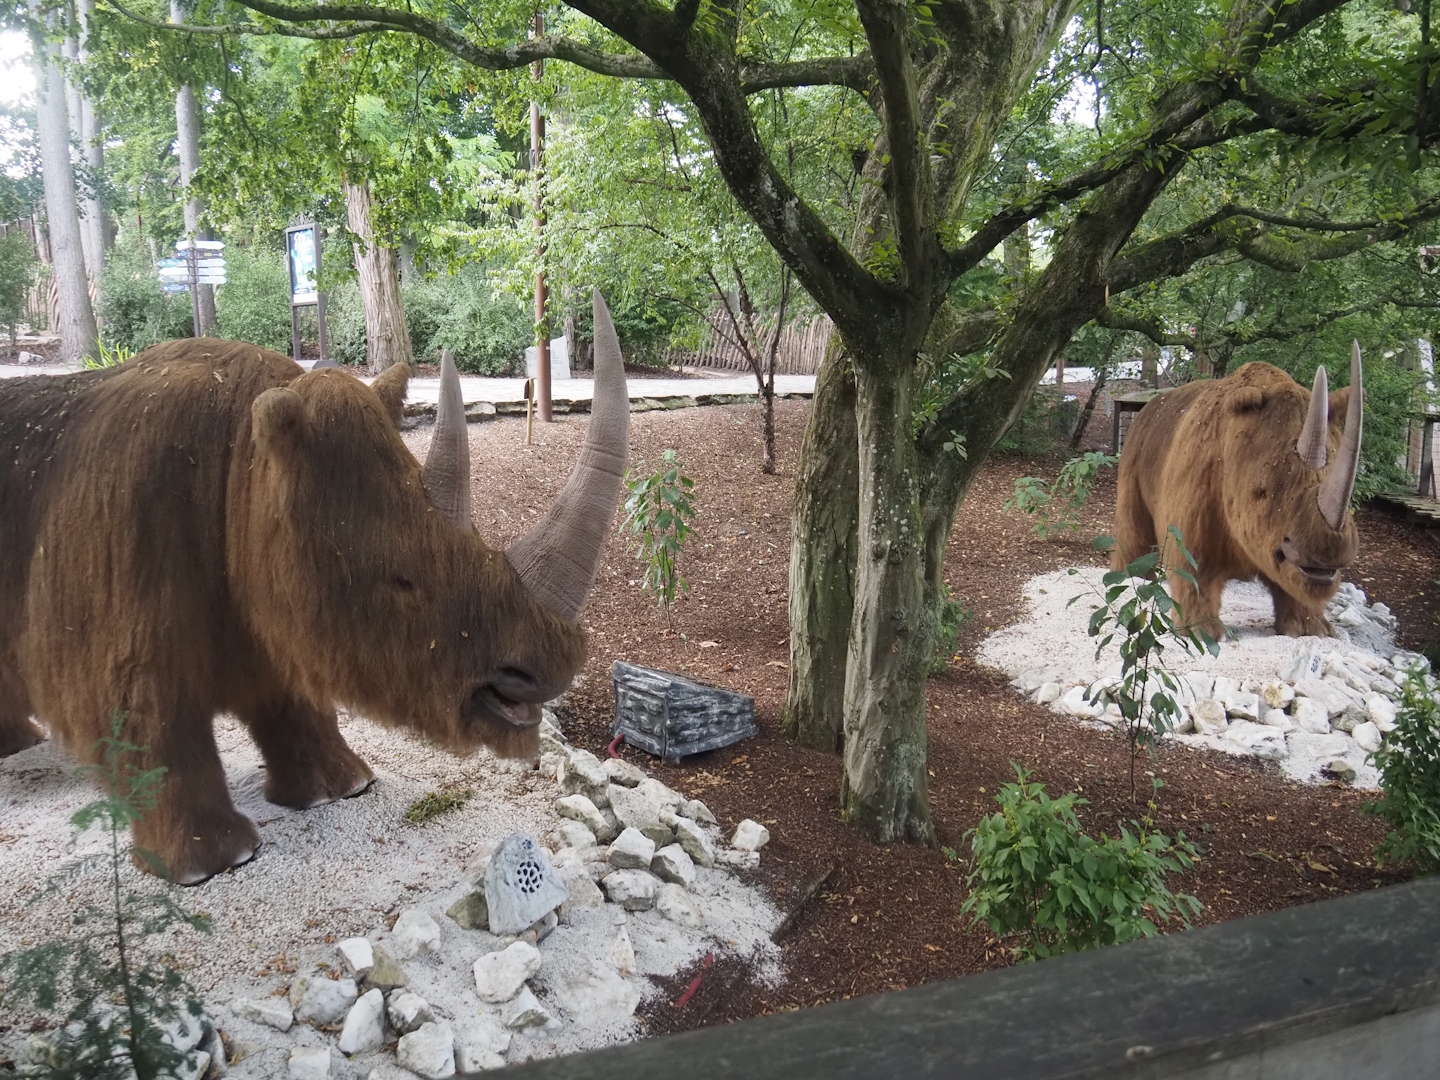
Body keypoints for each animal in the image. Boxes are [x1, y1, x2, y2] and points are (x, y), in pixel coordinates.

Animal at [0, 290, 629, 883]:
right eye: (402, 579)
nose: (552, 666)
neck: (243, 469)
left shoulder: (281, 595)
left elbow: (292, 696)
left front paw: (338, 787)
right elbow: (148, 721)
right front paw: (211, 862)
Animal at [1112, 343, 1364, 639]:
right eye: (1260, 491)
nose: (1328, 551)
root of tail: (1147, 407)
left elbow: (1297, 589)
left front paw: (1311, 632)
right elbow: (1193, 571)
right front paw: (1200, 634)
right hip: (1136, 443)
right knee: (1132, 530)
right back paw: (1126, 580)